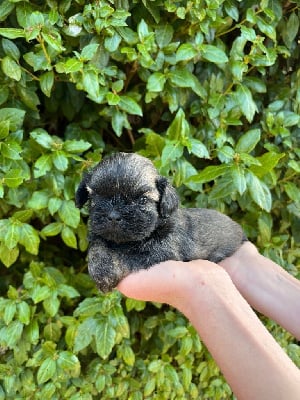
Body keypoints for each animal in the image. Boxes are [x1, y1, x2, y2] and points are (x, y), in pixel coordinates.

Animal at [75, 152, 246, 292]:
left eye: (143, 200)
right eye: (96, 198)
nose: (114, 215)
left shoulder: (161, 250)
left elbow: (128, 255)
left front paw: (108, 272)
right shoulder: (100, 235)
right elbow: (97, 246)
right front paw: (101, 267)